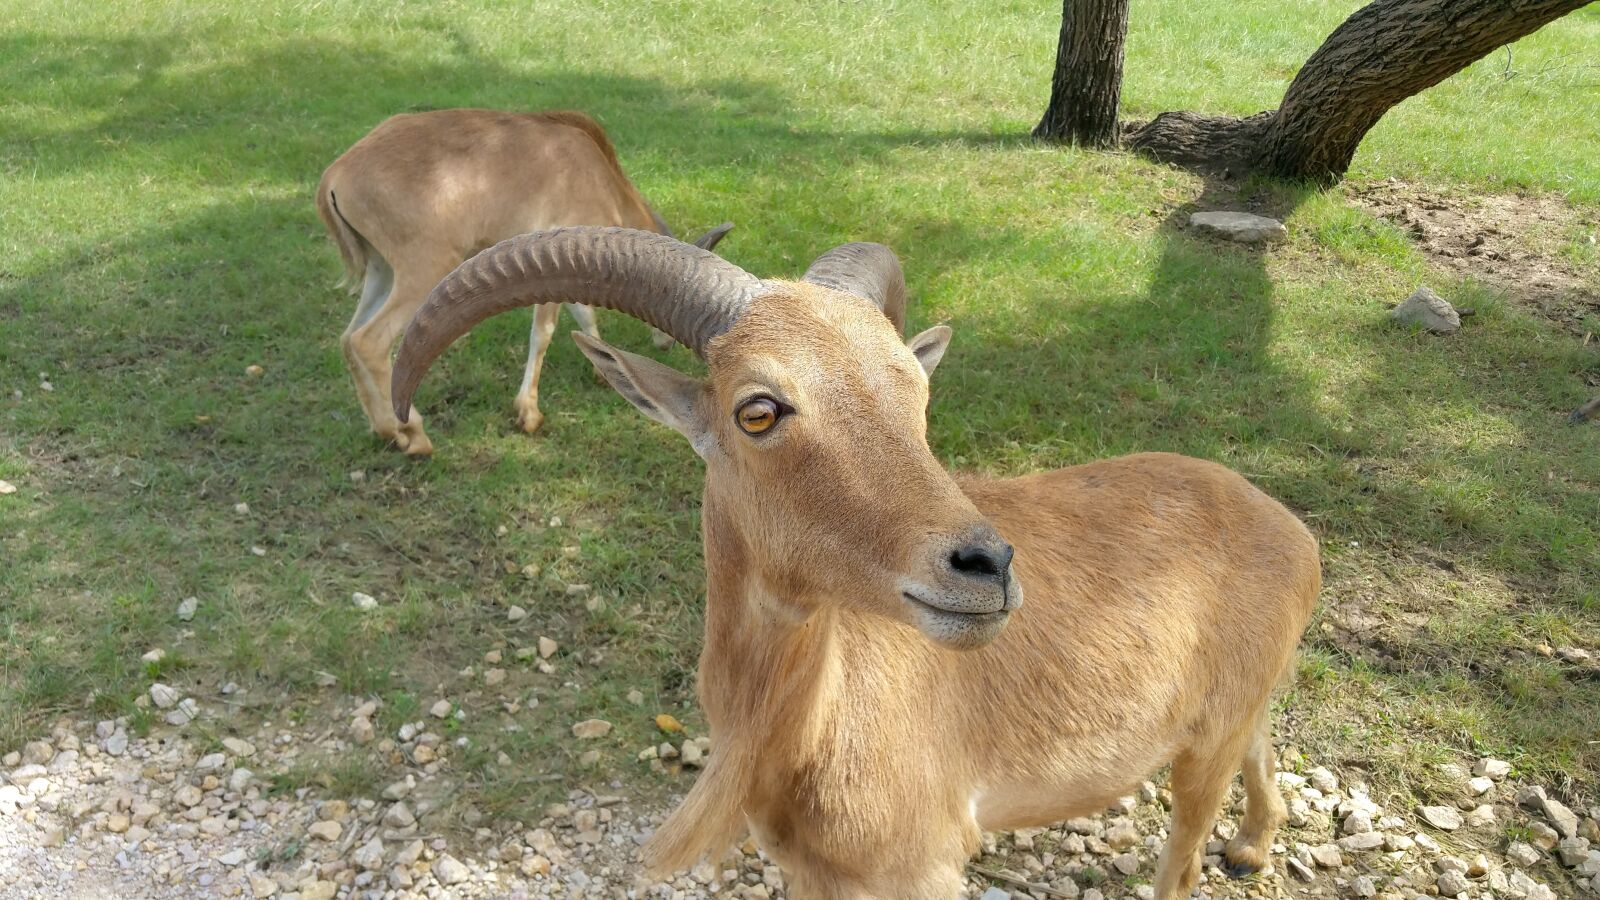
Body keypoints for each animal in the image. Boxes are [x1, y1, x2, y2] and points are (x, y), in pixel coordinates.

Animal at [315, 109, 732, 455]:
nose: (664, 344)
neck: (598, 174)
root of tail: (335, 177)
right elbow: (543, 332)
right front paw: (529, 414)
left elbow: (584, 315)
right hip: (423, 267)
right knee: (369, 340)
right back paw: (412, 435)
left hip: (381, 268)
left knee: (348, 338)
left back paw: (386, 430)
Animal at [388, 228, 1322, 899]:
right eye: (758, 410)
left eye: (917, 388)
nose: (986, 568)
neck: (803, 733)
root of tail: (1294, 533)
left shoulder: (920, 870)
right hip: (1235, 712)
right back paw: (1253, 846)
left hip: (1201, 751)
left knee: (1185, 854)